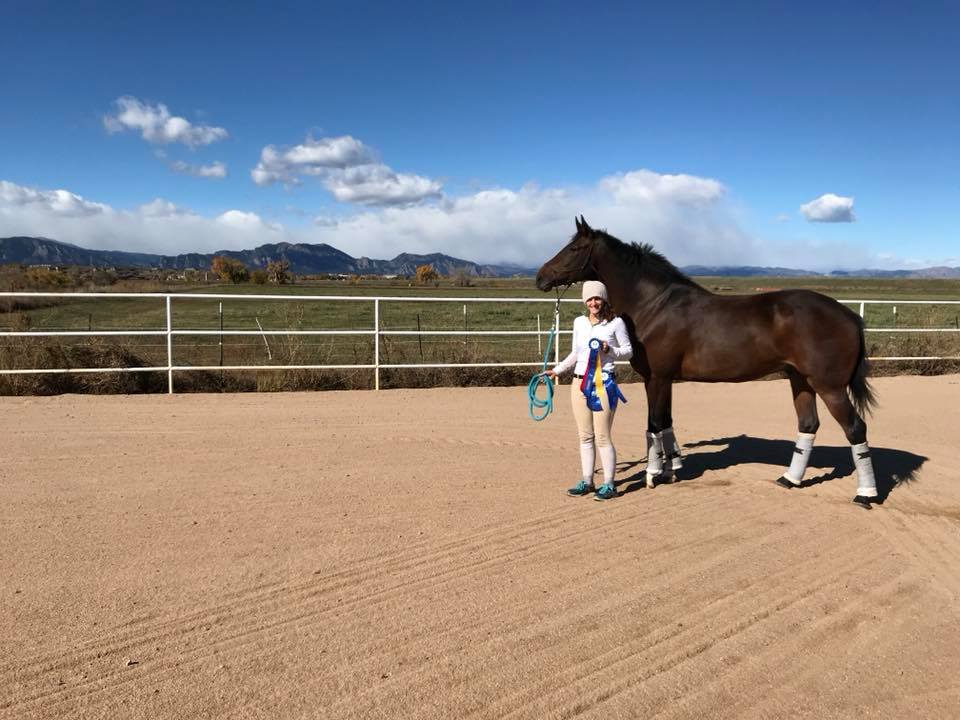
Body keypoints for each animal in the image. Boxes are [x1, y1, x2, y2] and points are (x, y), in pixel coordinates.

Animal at [536, 215, 880, 506]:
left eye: (574, 248)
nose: (540, 277)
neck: (654, 305)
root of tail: (850, 316)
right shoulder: (665, 380)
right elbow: (667, 423)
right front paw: (672, 469)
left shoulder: (656, 378)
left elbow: (653, 424)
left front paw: (652, 474)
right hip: (800, 381)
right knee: (808, 425)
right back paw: (789, 479)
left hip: (829, 387)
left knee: (855, 429)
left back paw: (865, 494)